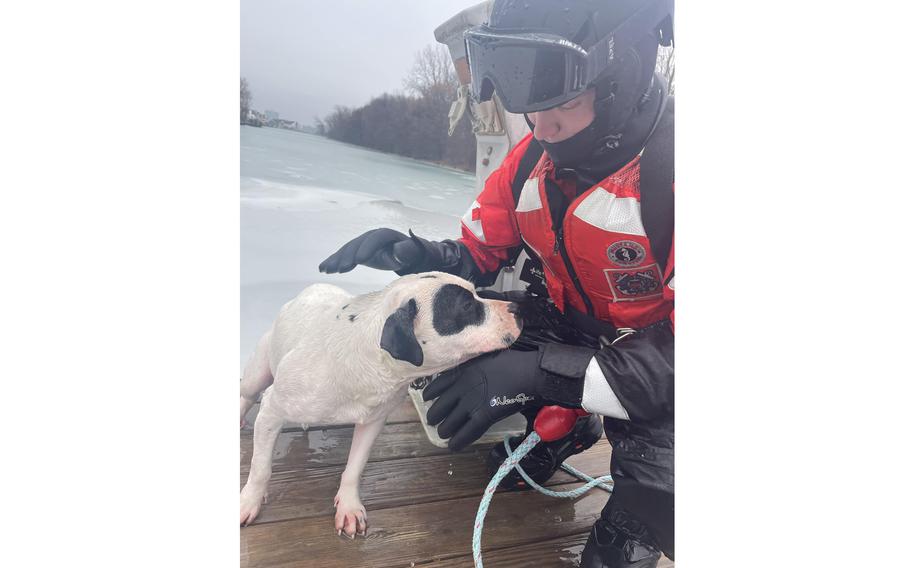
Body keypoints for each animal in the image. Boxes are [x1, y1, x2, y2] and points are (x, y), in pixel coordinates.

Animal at [239, 272, 524, 536]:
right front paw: (250, 500)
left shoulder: (372, 422)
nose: (518, 307)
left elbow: (355, 467)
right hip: (256, 375)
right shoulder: (271, 410)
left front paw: (349, 505)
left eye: (478, 293)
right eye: (466, 306)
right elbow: (260, 467)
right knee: (247, 395)